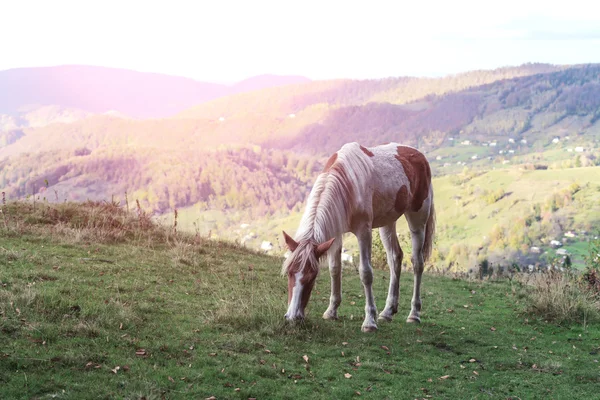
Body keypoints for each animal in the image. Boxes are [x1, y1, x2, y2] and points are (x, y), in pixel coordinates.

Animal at [282, 142, 436, 332]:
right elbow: (335, 268)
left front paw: (369, 321)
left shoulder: (364, 231)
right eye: (289, 273)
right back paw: (388, 311)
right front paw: (331, 311)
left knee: (417, 263)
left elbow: (366, 273)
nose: (292, 317)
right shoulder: (336, 232)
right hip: (387, 222)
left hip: (418, 219)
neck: (347, 182)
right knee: (395, 258)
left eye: (311, 277)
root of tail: (419, 155)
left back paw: (414, 314)